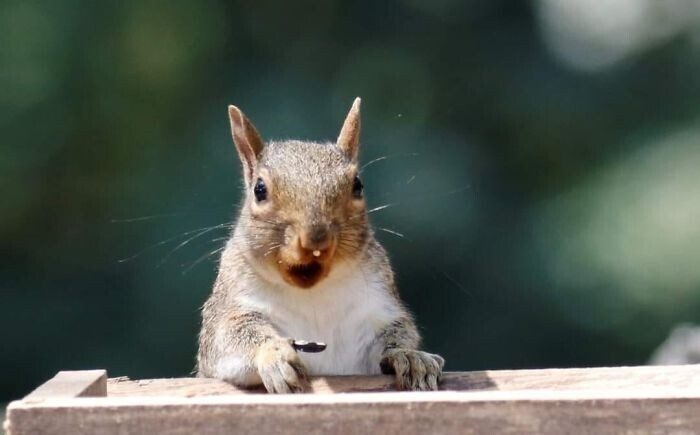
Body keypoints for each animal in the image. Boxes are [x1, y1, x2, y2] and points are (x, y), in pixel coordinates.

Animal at [196, 99, 442, 396]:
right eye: (259, 189)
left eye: (358, 185)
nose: (315, 238)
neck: (312, 294)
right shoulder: (231, 306)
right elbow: (229, 338)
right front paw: (274, 354)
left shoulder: (379, 308)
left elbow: (398, 333)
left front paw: (410, 357)